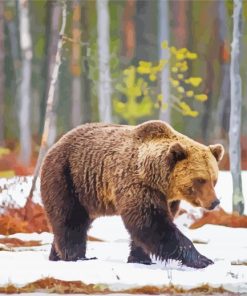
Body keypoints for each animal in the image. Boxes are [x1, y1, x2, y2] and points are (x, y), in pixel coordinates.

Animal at [40, 119, 224, 268]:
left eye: (214, 179)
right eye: (200, 180)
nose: (214, 202)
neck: (159, 179)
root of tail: (55, 144)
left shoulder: (166, 198)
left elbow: (151, 225)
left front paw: (140, 258)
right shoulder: (137, 184)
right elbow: (151, 223)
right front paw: (202, 259)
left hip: (86, 193)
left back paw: (55, 255)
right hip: (68, 177)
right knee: (70, 220)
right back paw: (76, 256)